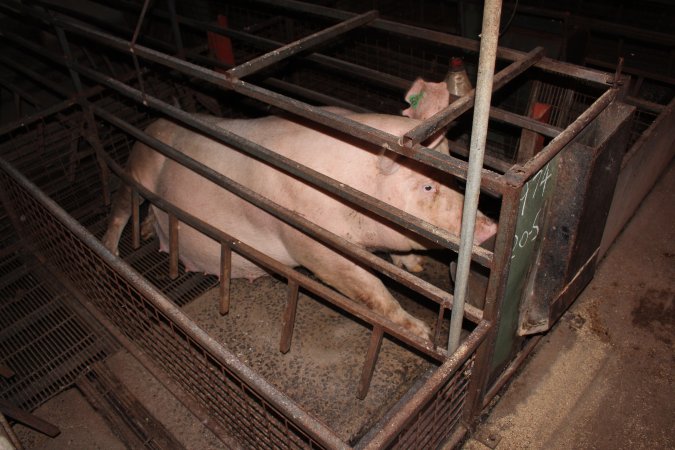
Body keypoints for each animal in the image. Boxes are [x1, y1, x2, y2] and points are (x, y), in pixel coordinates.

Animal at [103, 81, 500, 342]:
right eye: (427, 186)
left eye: (455, 176)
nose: (490, 228)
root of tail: (151, 124)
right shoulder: (312, 244)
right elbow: (369, 287)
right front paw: (420, 333)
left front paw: (414, 267)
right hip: (136, 168)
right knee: (121, 208)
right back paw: (111, 253)